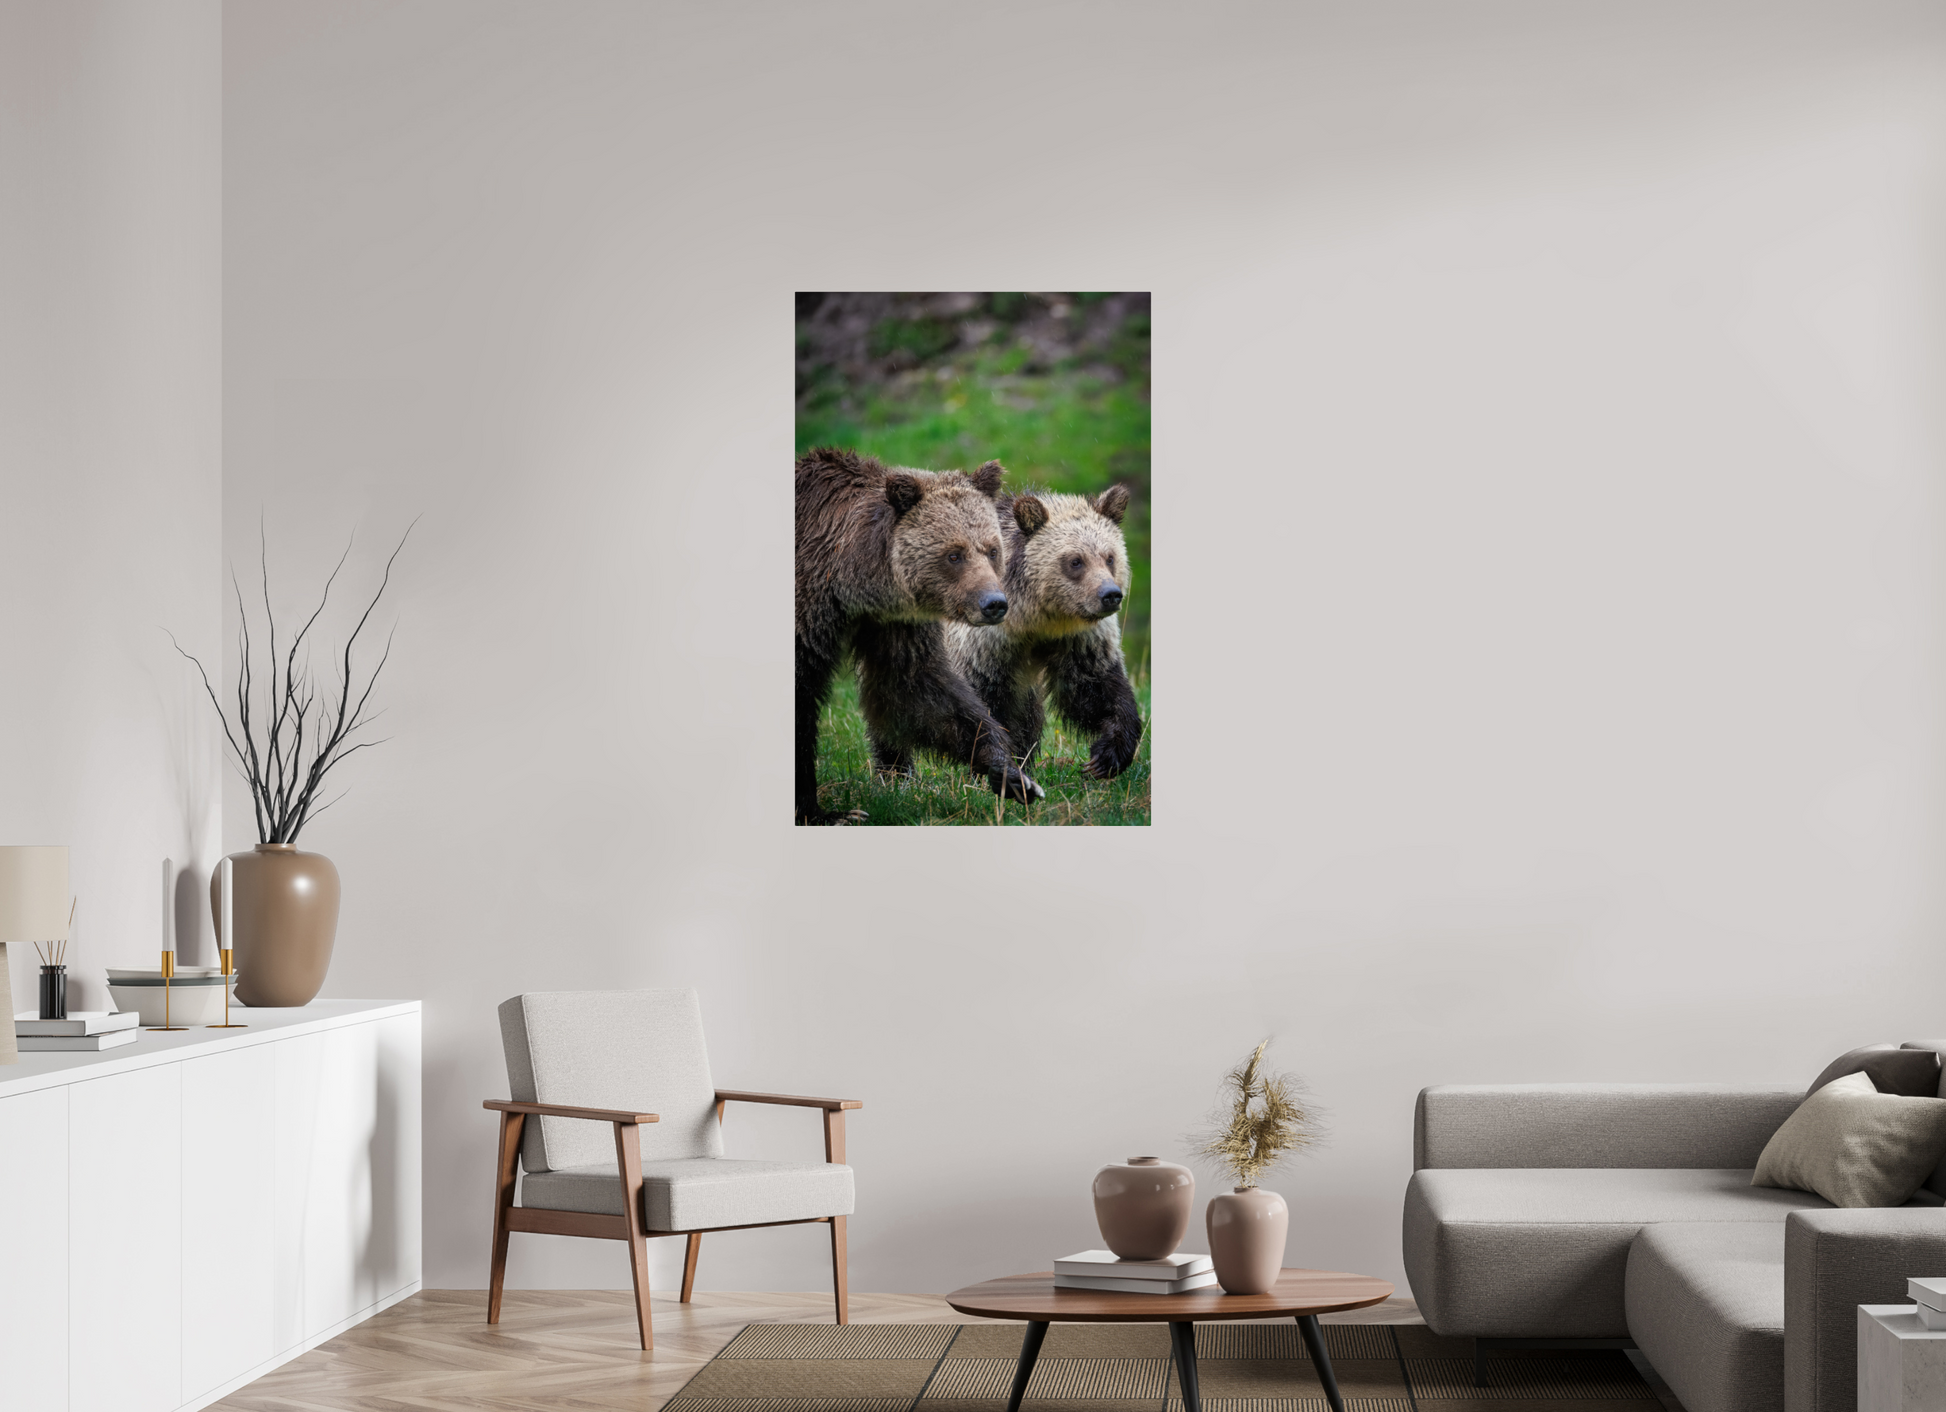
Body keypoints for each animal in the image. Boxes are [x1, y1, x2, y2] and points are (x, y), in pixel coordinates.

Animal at [795, 446, 1044, 824]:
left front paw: (1011, 774)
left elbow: (916, 688)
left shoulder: (893, 623)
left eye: (992, 549)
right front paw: (828, 812)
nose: (995, 603)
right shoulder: (809, 612)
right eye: (954, 554)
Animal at [942, 484, 1144, 780]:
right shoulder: (983, 644)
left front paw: (1106, 757)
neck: (1035, 619)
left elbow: (1095, 688)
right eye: (1075, 561)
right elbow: (985, 700)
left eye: (1110, 557)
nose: (1110, 595)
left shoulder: (1078, 640)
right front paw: (997, 765)